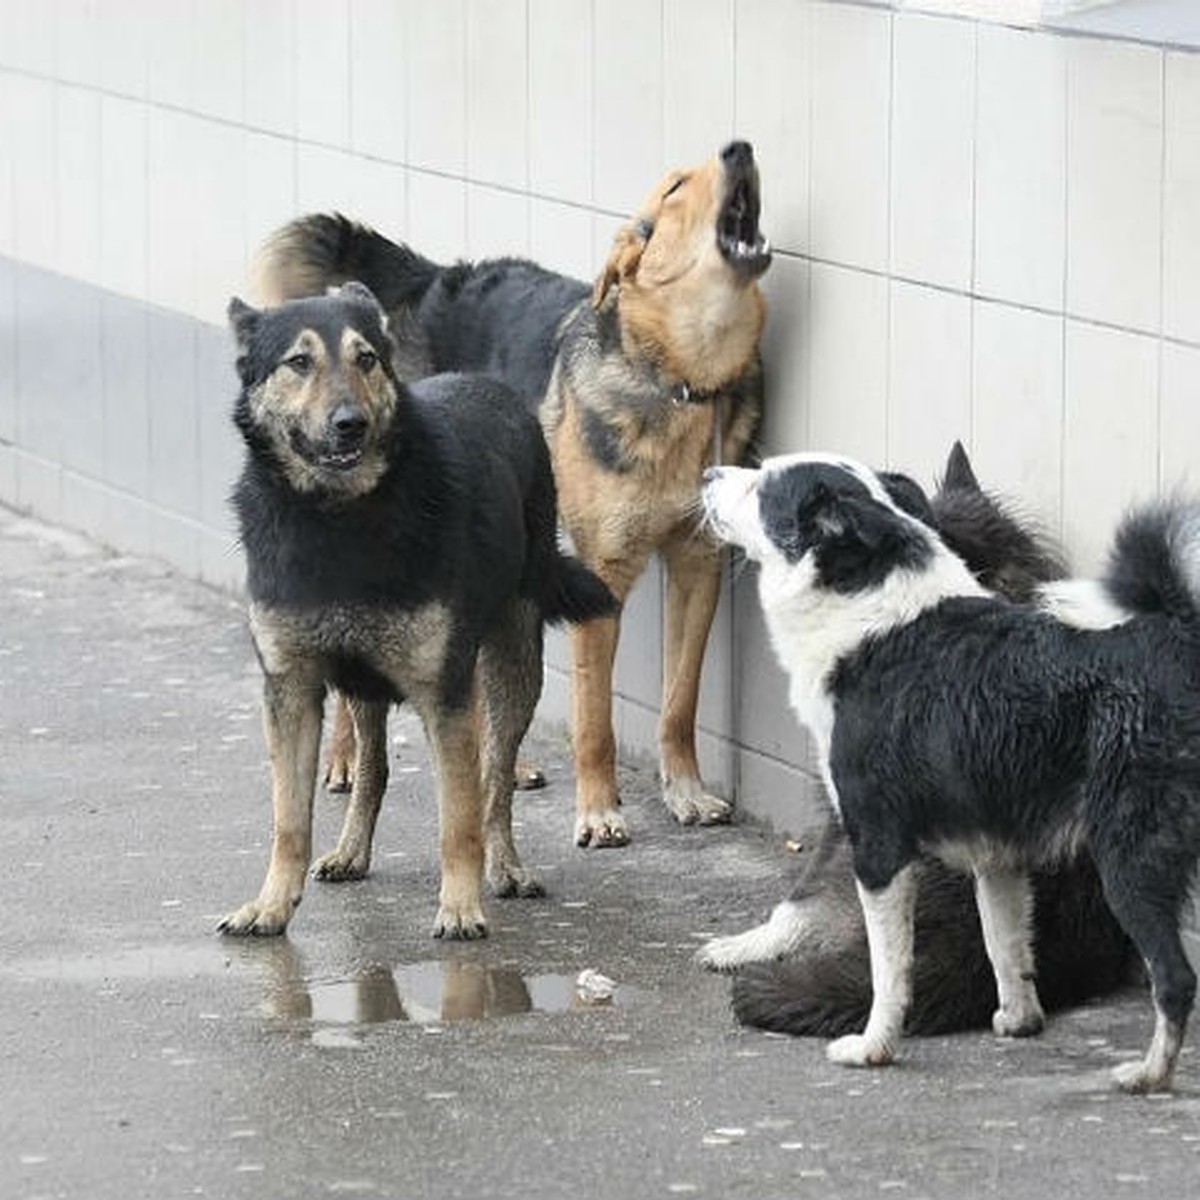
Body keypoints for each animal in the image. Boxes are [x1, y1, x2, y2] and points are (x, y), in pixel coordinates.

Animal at [216, 280, 614, 936]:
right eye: (299, 362)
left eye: (366, 359)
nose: (349, 425)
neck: (339, 517)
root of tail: (488, 384)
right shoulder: (291, 692)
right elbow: (289, 819)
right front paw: (271, 904)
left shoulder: (444, 695)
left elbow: (459, 817)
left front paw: (460, 905)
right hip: (364, 684)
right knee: (373, 767)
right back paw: (351, 851)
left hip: (510, 665)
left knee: (494, 778)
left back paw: (505, 867)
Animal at [258, 140, 772, 849]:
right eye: (674, 188)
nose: (739, 147)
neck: (679, 380)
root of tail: (432, 278)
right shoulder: (604, 574)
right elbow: (594, 715)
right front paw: (599, 810)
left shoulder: (699, 566)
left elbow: (679, 701)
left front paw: (685, 791)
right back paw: (344, 756)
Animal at [700, 453, 1200, 1094]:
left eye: (762, 487)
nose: (708, 474)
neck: (868, 611)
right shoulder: (997, 856)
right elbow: (1005, 946)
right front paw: (1018, 1021)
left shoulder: (878, 848)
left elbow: (890, 970)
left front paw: (874, 1046)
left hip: (1129, 861)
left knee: (1175, 979)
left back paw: (1151, 1073)